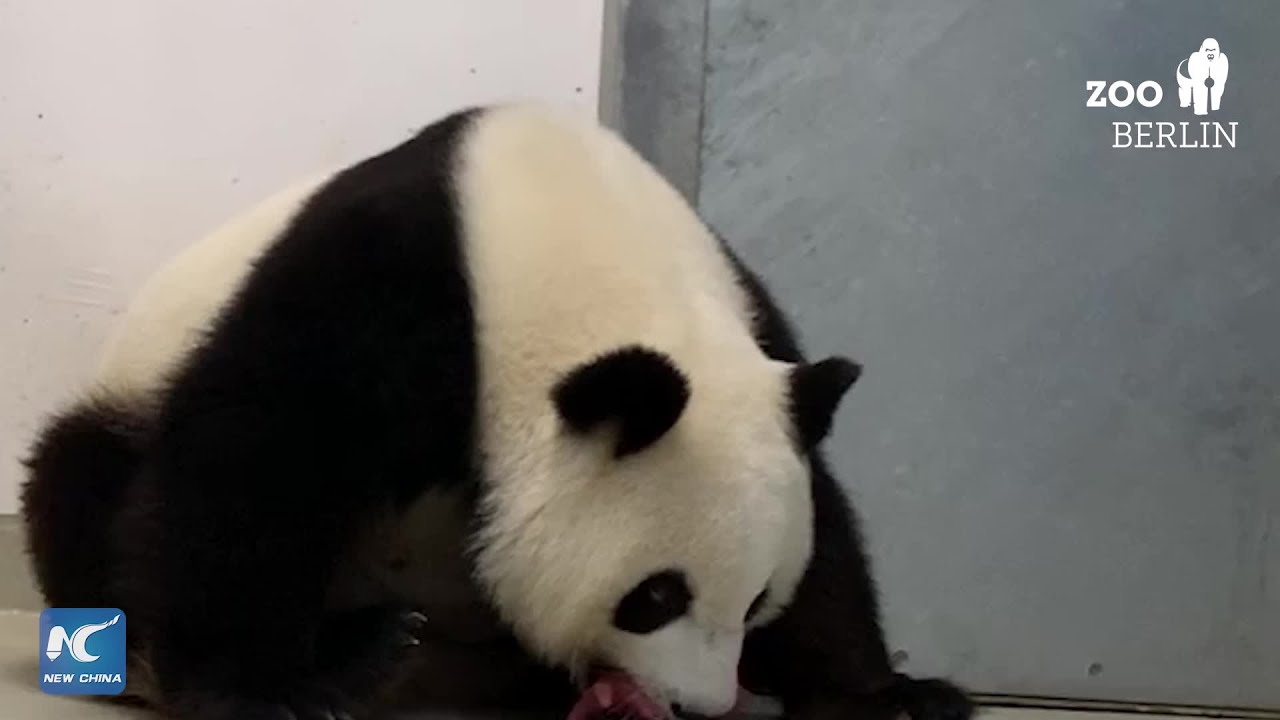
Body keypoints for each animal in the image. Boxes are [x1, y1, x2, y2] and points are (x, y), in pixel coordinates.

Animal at [20, 104, 973, 720]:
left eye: (757, 599)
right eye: (655, 596)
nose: (699, 705)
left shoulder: (752, 321)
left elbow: (830, 525)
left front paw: (888, 695)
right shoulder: (385, 287)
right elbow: (260, 454)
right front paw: (264, 690)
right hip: (126, 400)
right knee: (84, 482)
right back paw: (360, 655)